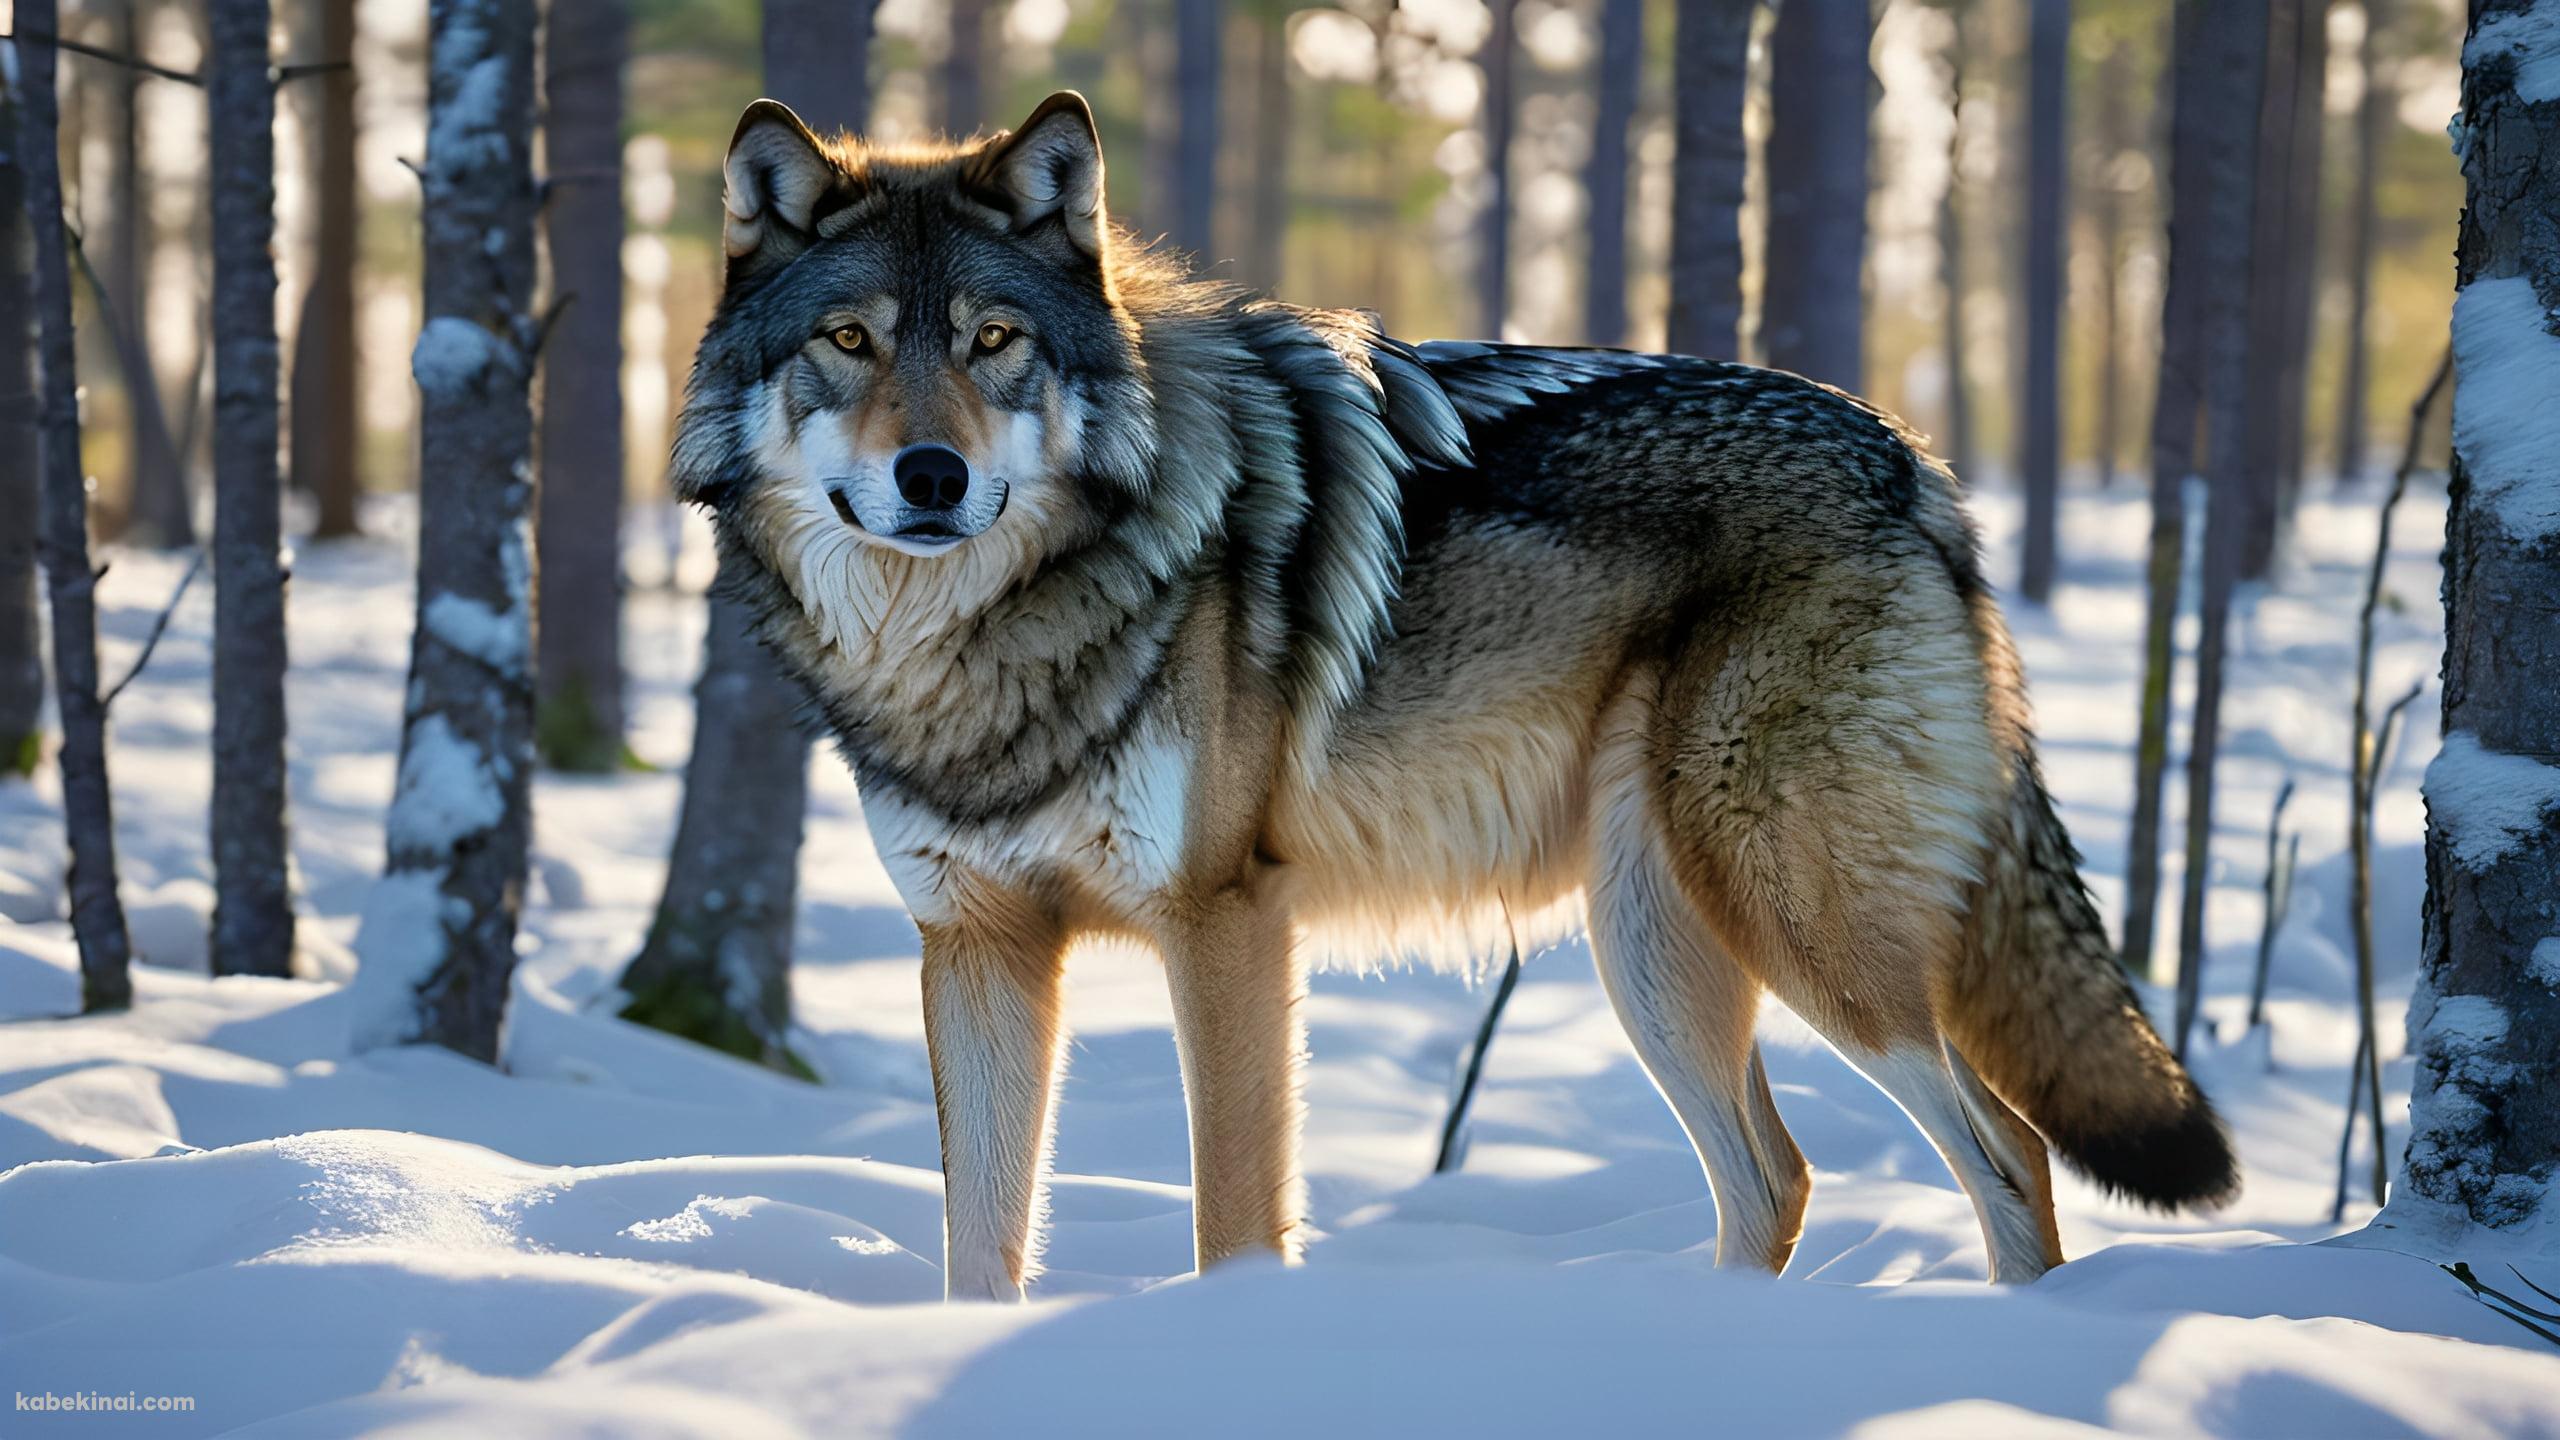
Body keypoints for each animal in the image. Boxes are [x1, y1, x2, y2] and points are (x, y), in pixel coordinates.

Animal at [680, 95, 2242, 1296]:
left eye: (993, 340)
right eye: (850, 342)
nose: (931, 478)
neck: (978, 646)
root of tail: (1914, 463)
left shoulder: (1225, 921)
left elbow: (1231, 1221)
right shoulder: (977, 947)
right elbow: (979, 1249)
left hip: (1793, 930)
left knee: (2007, 1151)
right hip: (1653, 949)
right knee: (1778, 1179)